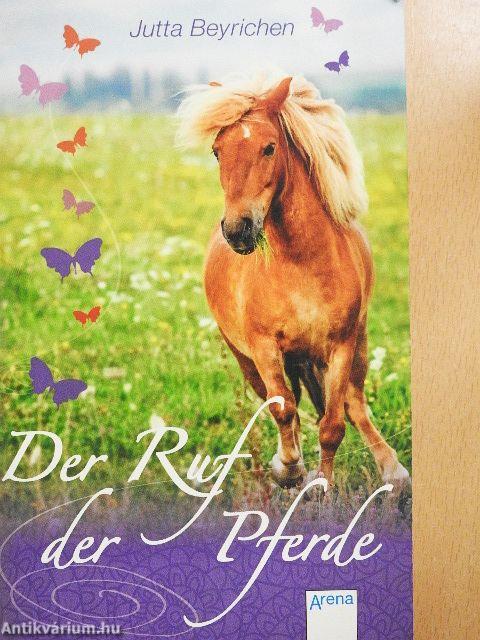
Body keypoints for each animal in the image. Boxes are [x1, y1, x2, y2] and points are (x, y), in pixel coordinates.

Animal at [177, 73, 410, 489]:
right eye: (217, 152)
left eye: (269, 148)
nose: (238, 230)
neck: (300, 265)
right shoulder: (265, 349)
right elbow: (284, 410)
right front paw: (289, 469)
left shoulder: (340, 346)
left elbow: (333, 425)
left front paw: (322, 486)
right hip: (247, 360)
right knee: (286, 404)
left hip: (358, 344)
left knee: (354, 404)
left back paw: (393, 472)